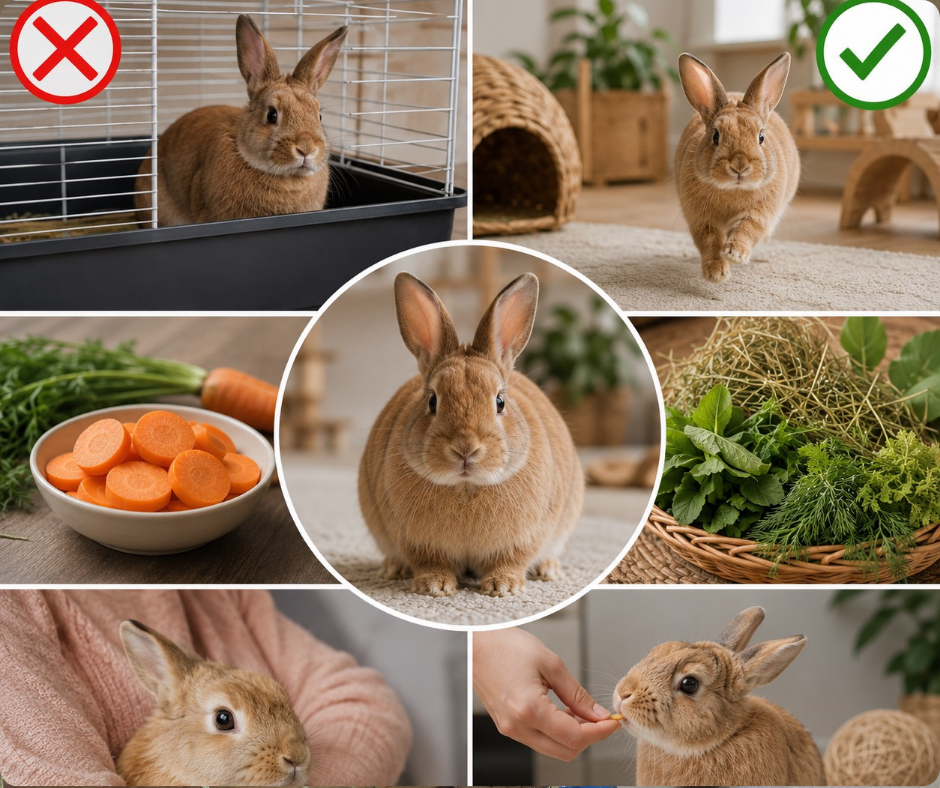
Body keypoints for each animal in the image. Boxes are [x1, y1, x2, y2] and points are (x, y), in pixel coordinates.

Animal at [358, 272, 584, 598]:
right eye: (432, 401)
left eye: (500, 402)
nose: (466, 449)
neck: (466, 486)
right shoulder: (416, 541)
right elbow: (429, 561)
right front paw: (434, 586)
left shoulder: (525, 538)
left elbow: (512, 559)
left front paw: (503, 586)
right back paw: (393, 568)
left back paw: (548, 570)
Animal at [675, 53, 800, 283]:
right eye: (715, 136)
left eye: (761, 137)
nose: (739, 166)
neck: (733, 189)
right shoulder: (701, 220)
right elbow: (709, 242)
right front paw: (716, 272)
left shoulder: (760, 215)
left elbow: (747, 229)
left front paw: (734, 253)